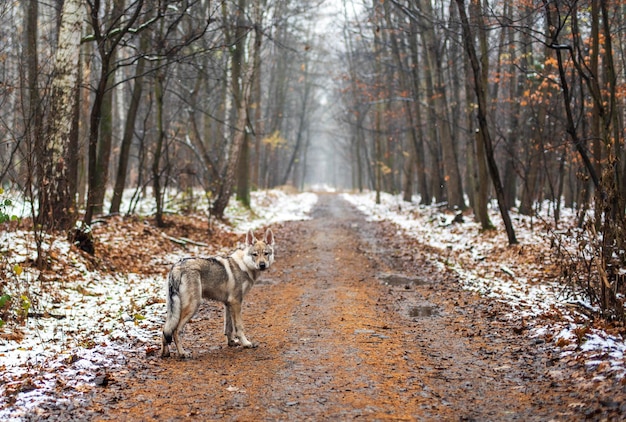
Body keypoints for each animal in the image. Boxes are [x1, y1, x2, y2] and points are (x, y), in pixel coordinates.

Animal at [161, 229, 272, 358]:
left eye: (266, 254)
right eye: (255, 254)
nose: (262, 265)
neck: (244, 265)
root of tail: (176, 267)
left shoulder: (228, 304)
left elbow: (228, 328)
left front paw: (231, 342)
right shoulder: (236, 302)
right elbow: (239, 327)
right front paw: (246, 343)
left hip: (174, 310)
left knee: (165, 330)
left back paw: (165, 353)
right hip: (193, 306)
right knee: (175, 331)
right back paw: (183, 353)